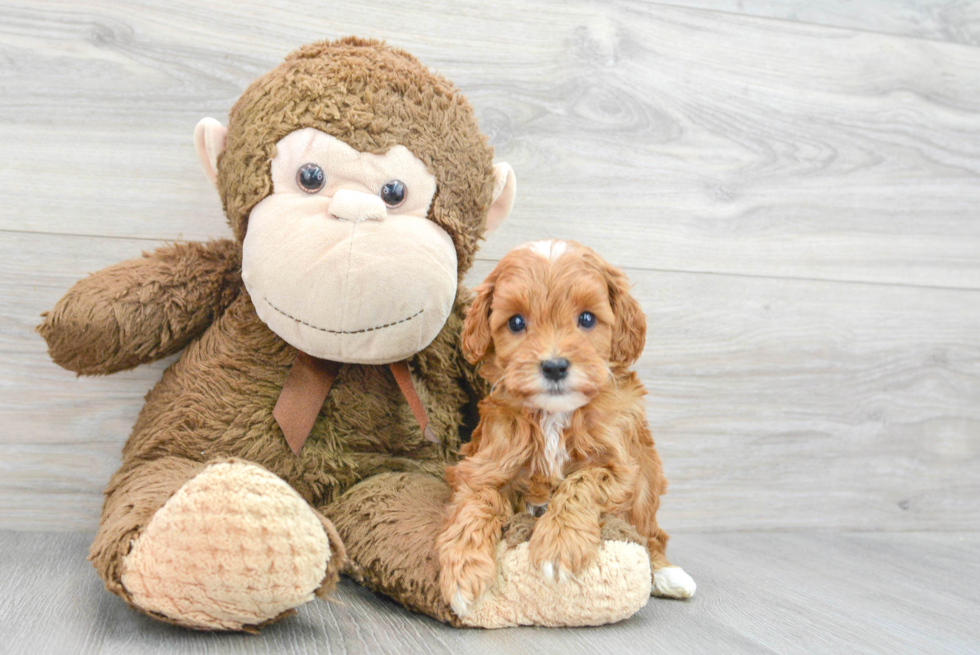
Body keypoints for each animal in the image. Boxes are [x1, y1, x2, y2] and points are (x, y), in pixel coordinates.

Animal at [436, 238, 696, 616]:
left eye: (586, 318)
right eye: (516, 322)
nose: (555, 366)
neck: (555, 415)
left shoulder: (621, 467)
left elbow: (581, 482)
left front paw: (559, 546)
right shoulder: (485, 463)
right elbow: (475, 503)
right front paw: (462, 569)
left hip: (648, 485)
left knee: (652, 535)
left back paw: (668, 574)